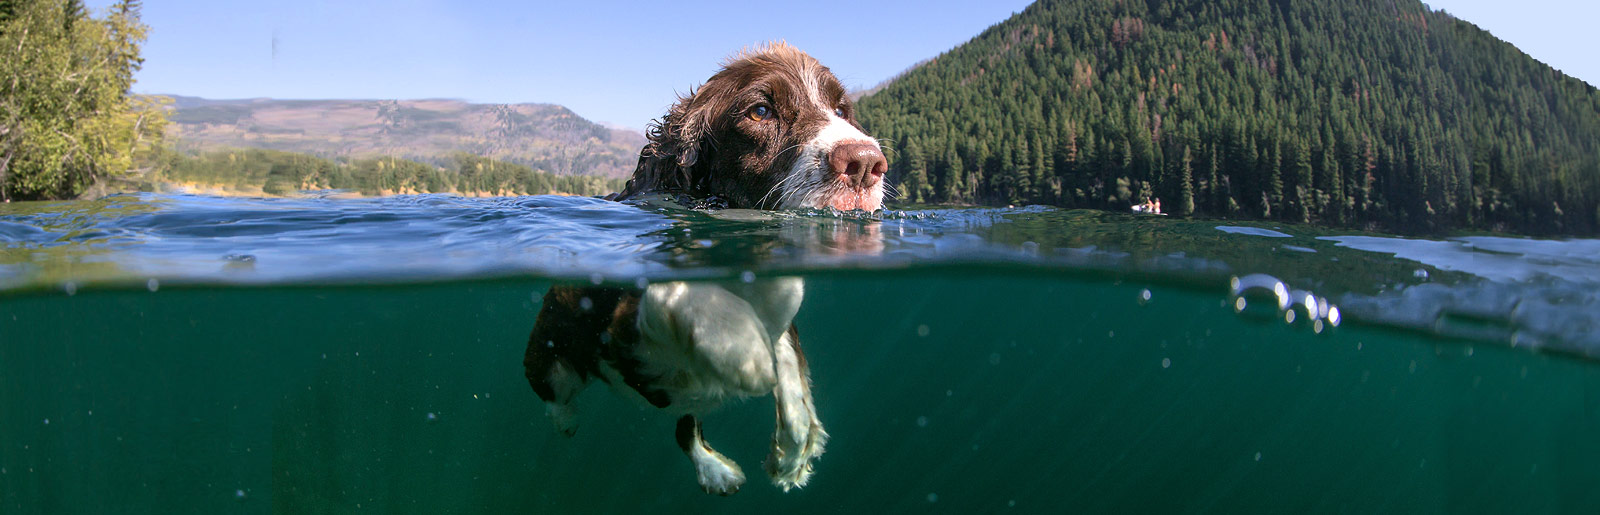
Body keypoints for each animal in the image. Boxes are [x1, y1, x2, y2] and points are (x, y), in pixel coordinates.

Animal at [531, 43, 896, 495]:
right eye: (760, 111)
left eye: (842, 109)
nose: (865, 163)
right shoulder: (623, 323)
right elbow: (678, 292)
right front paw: (747, 357)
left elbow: (791, 372)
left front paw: (793, 456)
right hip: (552, 349)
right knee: (553, 389)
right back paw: (567, 420)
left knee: (684, 427)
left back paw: (716, 471)